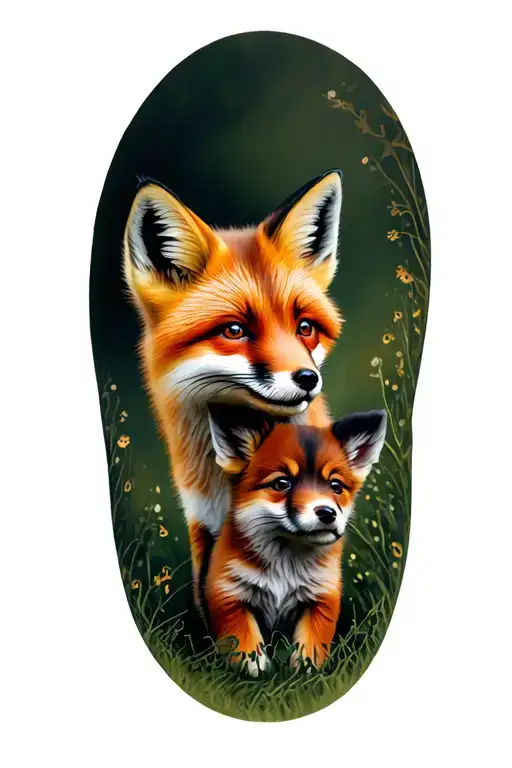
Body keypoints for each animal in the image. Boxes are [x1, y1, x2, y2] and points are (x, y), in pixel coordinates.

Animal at [205, 408, 387, 674]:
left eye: (335, 486)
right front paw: (255, 670)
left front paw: (304, 672)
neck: (285, 568)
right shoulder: (229, 593)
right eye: (282, 483)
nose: (327, 513)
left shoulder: (321, 597)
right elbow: (245, 641)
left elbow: (310, 647)